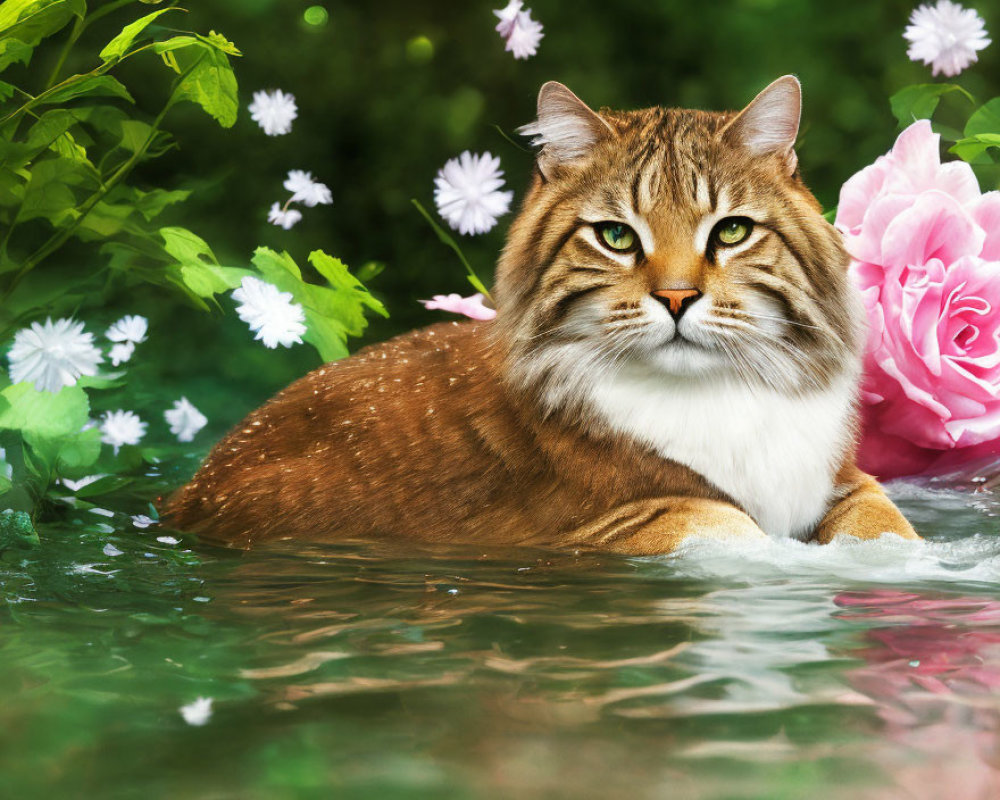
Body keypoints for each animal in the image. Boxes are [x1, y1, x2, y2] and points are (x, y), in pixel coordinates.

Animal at [160, 78, 916, 552]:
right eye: (616, 237)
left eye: (731, 231)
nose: (677, 299)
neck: (715, 391)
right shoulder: (597, 525)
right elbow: (725, 522)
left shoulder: (844, 480)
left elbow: (887, 526)